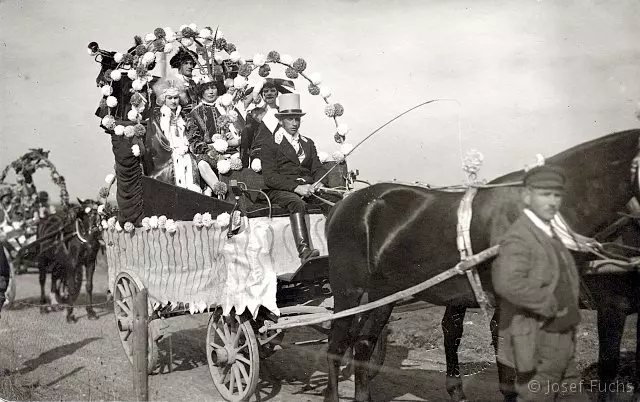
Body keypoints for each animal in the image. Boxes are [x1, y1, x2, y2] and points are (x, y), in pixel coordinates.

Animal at [322, 130, 640, 402]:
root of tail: (342, 205)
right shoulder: (607, 306)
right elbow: (512, 378)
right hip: (348, 290)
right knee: (336, 345)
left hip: (382, 294)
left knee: (363, 345)